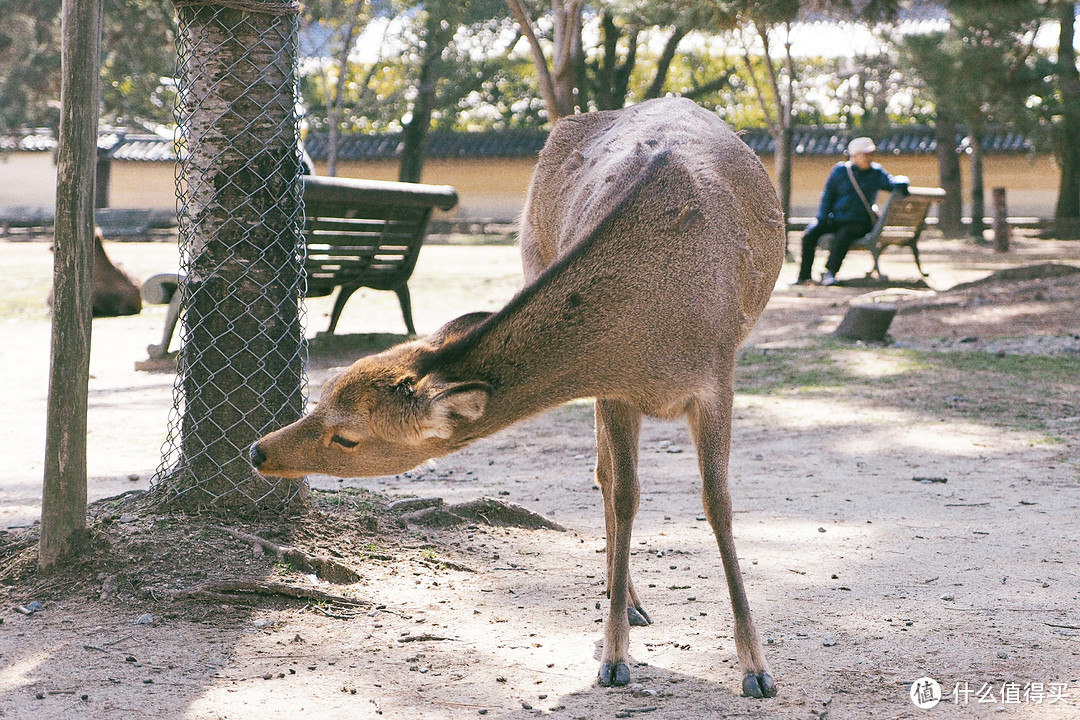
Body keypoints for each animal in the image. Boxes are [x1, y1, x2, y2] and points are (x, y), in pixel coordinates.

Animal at [248, 95, 781, 699]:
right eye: (322, 395)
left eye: (347, 438)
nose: (259, 450)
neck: (650, 337)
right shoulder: (613, 388)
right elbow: (626, 494)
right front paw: (614, 656)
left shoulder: (717, 377)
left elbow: (719, 503)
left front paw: (757, 669)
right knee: (604, 476)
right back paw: (625, 601)